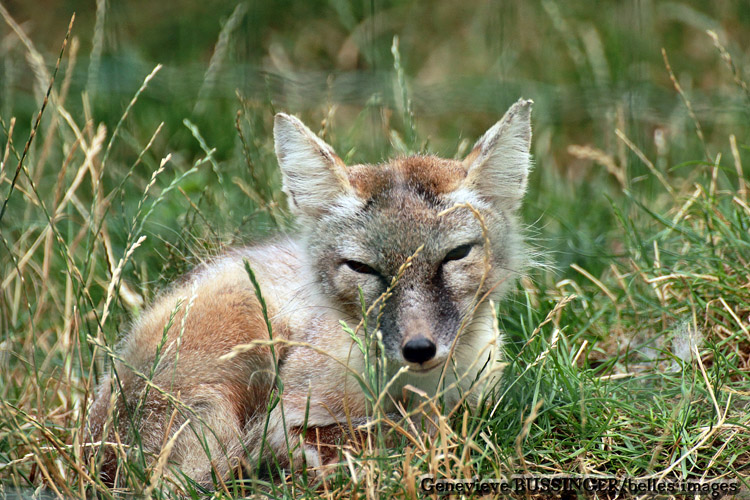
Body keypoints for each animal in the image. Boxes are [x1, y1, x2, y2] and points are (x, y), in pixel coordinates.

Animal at [86, 98, 536, 488]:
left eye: (455, 255)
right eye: (362, 267)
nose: (419, 348)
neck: (416, 391)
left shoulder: (478, 396)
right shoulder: (283, 420)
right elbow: (382, 437)